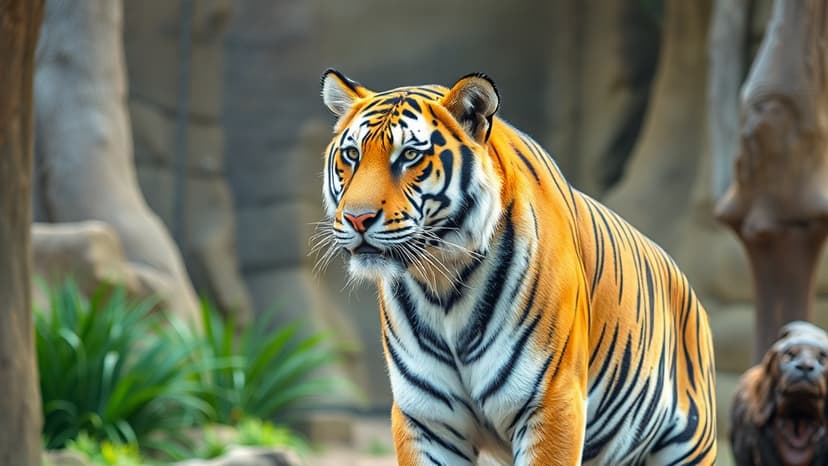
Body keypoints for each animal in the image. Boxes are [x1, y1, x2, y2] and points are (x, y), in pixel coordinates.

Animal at [316, 69, 718, 465]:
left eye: (410, 155)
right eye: (351, 155)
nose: (357, 218)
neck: (442, 284)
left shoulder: (552, 402)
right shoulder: (426, 418)